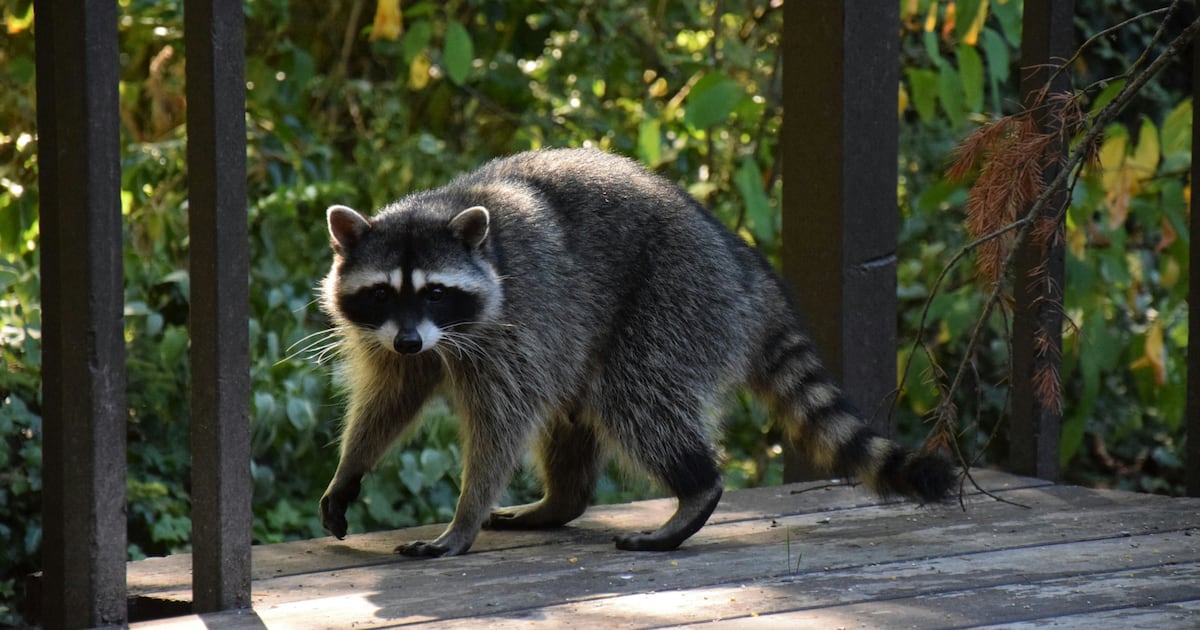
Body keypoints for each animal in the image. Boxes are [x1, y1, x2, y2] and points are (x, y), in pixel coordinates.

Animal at [317, 148, 954, 557]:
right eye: (381, 293)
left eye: (435, 291)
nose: (409, 339)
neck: (445, 205)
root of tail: (746, 270)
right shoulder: (399, 338)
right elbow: (391, 398)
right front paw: (351, 467)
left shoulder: (517, 322)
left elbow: (502, 423)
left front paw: (463, 517)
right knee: (577, 410)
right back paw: (562, 501)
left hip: (676, 299)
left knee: (634, 398)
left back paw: (696, 488)